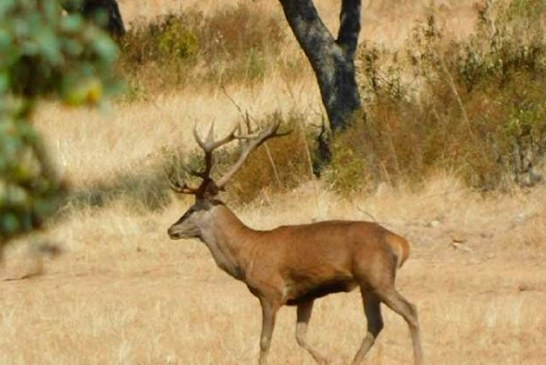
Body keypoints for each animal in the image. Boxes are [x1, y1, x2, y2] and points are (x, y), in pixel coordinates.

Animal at [168, 120, 422, 364]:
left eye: (191, 209)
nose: (171, 229)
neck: (246, 254)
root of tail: (400, 243)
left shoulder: (270, 293)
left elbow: (264, 341)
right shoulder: (305, 295)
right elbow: (300, 336)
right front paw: (326, 360)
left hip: (378, 276)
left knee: (410, 310)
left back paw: (419, 357)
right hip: (367, 284)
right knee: (375, 324)